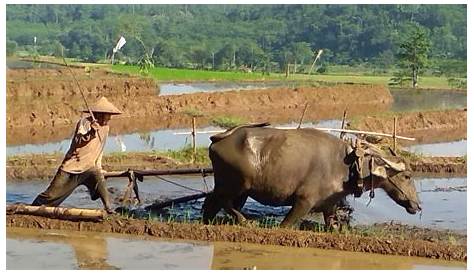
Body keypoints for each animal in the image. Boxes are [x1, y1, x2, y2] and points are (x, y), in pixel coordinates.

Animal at [204, 123, 422, 228]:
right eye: (407, 176)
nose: (417, 205)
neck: (348, 165)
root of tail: (219, 138)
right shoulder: (303, 201)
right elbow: (286, 225)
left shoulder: (329, 205)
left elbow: (332, 225)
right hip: (235, 184)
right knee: (219, 200)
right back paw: (245, 221)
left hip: (242, 189)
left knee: (213, 203)